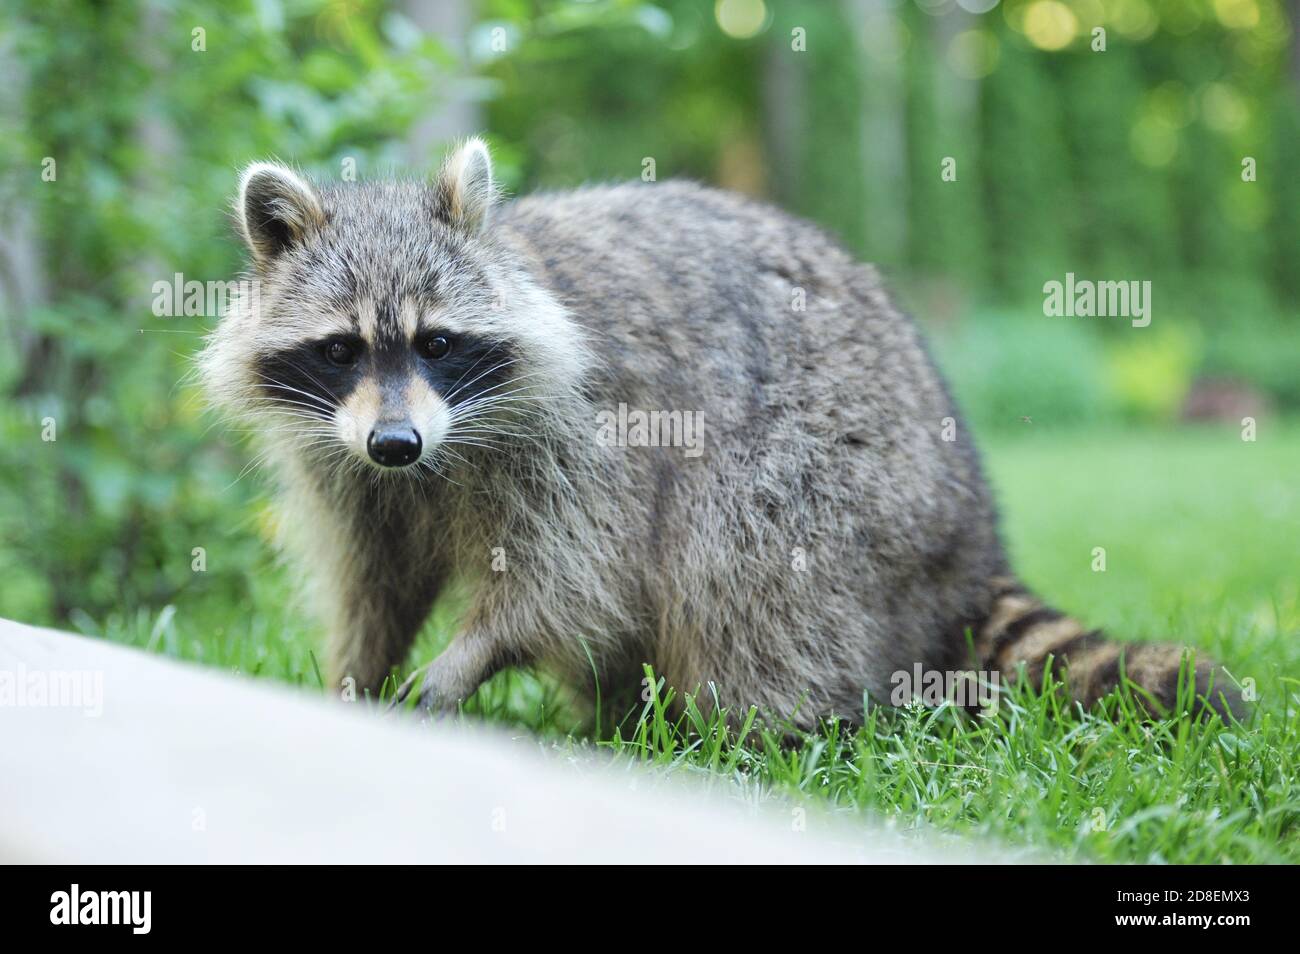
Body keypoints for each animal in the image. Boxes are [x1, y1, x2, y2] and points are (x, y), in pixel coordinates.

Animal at [197, 138, 1242, 727]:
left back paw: (749, 729)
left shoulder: (586, 432)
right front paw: (355, 675)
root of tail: (970, 527)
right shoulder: (342, 459)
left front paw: (473, 654)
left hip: (849, 472)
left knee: (740, 560)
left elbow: (572, 577)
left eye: (438, 342)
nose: (397, 445)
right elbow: (374, 577)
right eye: (340, 349)